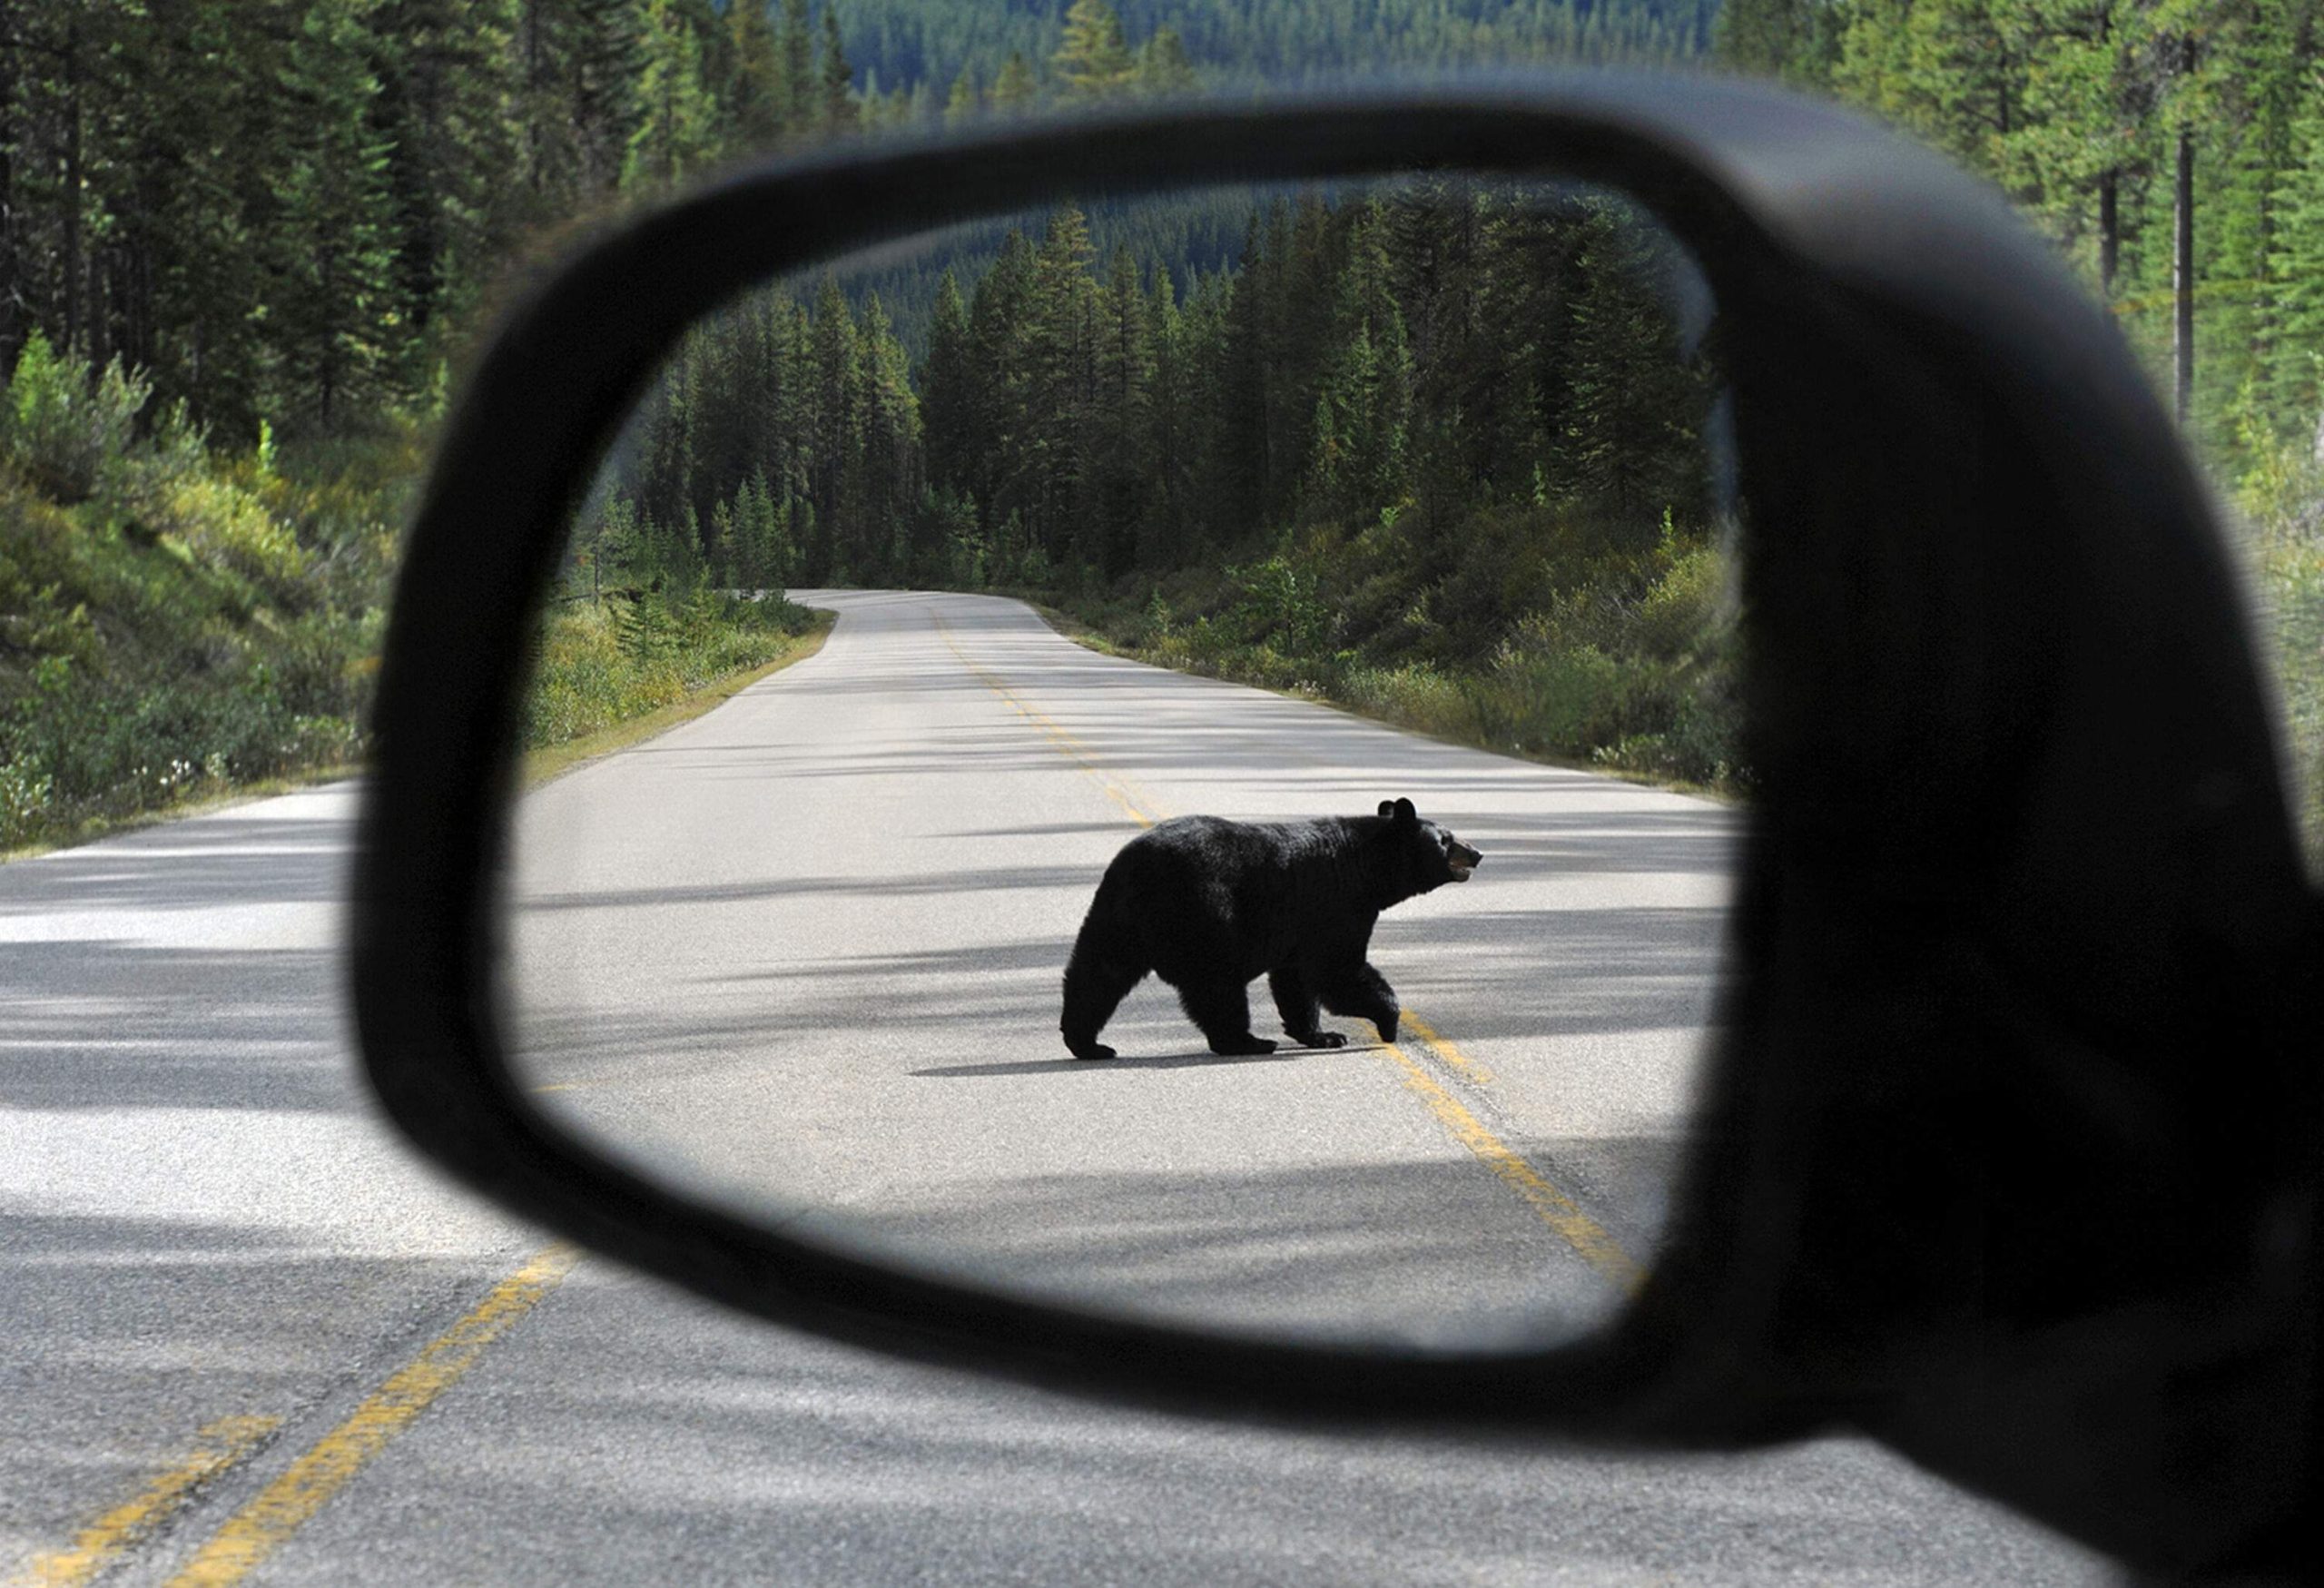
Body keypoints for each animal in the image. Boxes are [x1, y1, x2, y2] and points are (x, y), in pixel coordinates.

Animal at [1064, 799, 1478, 1060]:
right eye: (1446, 838)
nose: (1476, 852)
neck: (1367, 867)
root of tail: (1140, 868)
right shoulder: (1338, 906)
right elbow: (1337, 971)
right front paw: (1388, 1023)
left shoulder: (1302, 925)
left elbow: (1296, 980)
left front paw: (1322, 1034)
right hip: (1206, 915)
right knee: (1218, 986)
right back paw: (1246, 1041)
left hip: (1116, 917)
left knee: (1097, 974)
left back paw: (1087, 1043)